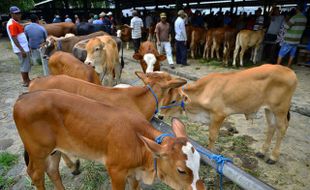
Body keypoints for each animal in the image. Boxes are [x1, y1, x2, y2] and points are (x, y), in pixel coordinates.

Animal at [13, 89, 206, 190]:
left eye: (198, 162)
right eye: (181, 170)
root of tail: (24, 96)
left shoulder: (134, 173)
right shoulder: (116, 171)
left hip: (55, 150)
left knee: (53, 171)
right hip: (38, 152)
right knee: (36, 174)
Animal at [157, 64, 298, 164]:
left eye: (173, 100)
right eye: (163, 97)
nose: (159, 116)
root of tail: (289, 71)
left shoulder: (219, 115)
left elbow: (212, 136)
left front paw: (211, 153)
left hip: (280, 109)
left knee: (282, 128)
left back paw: (273, 157)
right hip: (269, 109)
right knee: (271, 127)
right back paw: (262, 151)